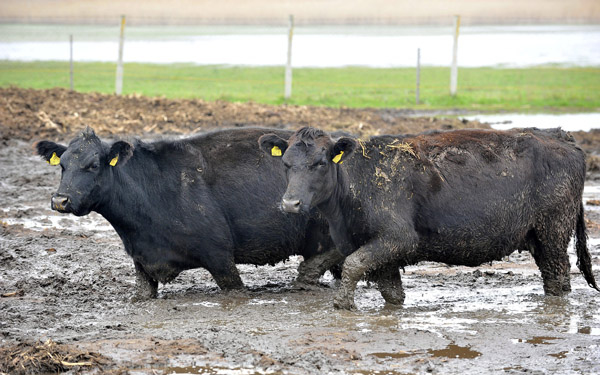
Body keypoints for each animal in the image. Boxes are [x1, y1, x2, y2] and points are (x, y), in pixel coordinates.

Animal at [262, 127, 600, 312]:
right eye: (286, 163)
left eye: (320, 163)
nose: (290, 203)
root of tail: (560, 136)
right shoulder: (381, 252)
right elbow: (390, 292)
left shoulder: (398, 238)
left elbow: (353, 265)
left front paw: (343, 304)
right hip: (539, 236)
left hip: (553, 231)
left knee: (557, 275)